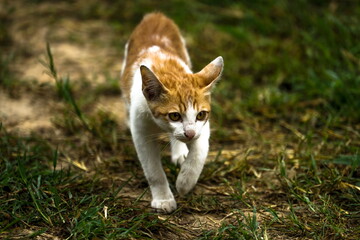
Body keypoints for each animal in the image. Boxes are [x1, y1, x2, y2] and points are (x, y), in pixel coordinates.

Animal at [120, 12, 222, 213]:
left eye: (200, 115)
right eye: (174, 116)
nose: (189, 134)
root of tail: (155, 15)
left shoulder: (203, 128)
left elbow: (199, 154)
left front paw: (184, 182)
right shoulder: (141, 130)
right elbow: (153, 171)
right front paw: (163, 199)